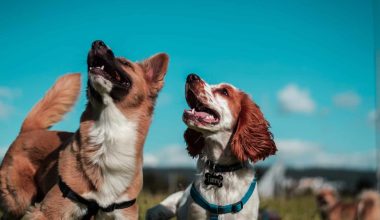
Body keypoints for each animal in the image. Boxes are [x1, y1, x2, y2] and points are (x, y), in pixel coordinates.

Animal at [0, 40, 169, 219]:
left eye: (125, 63)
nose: (97, 43)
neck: (108, 130)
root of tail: (28, 130)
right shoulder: (47, 211)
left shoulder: (124, 214)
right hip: (19, 201)